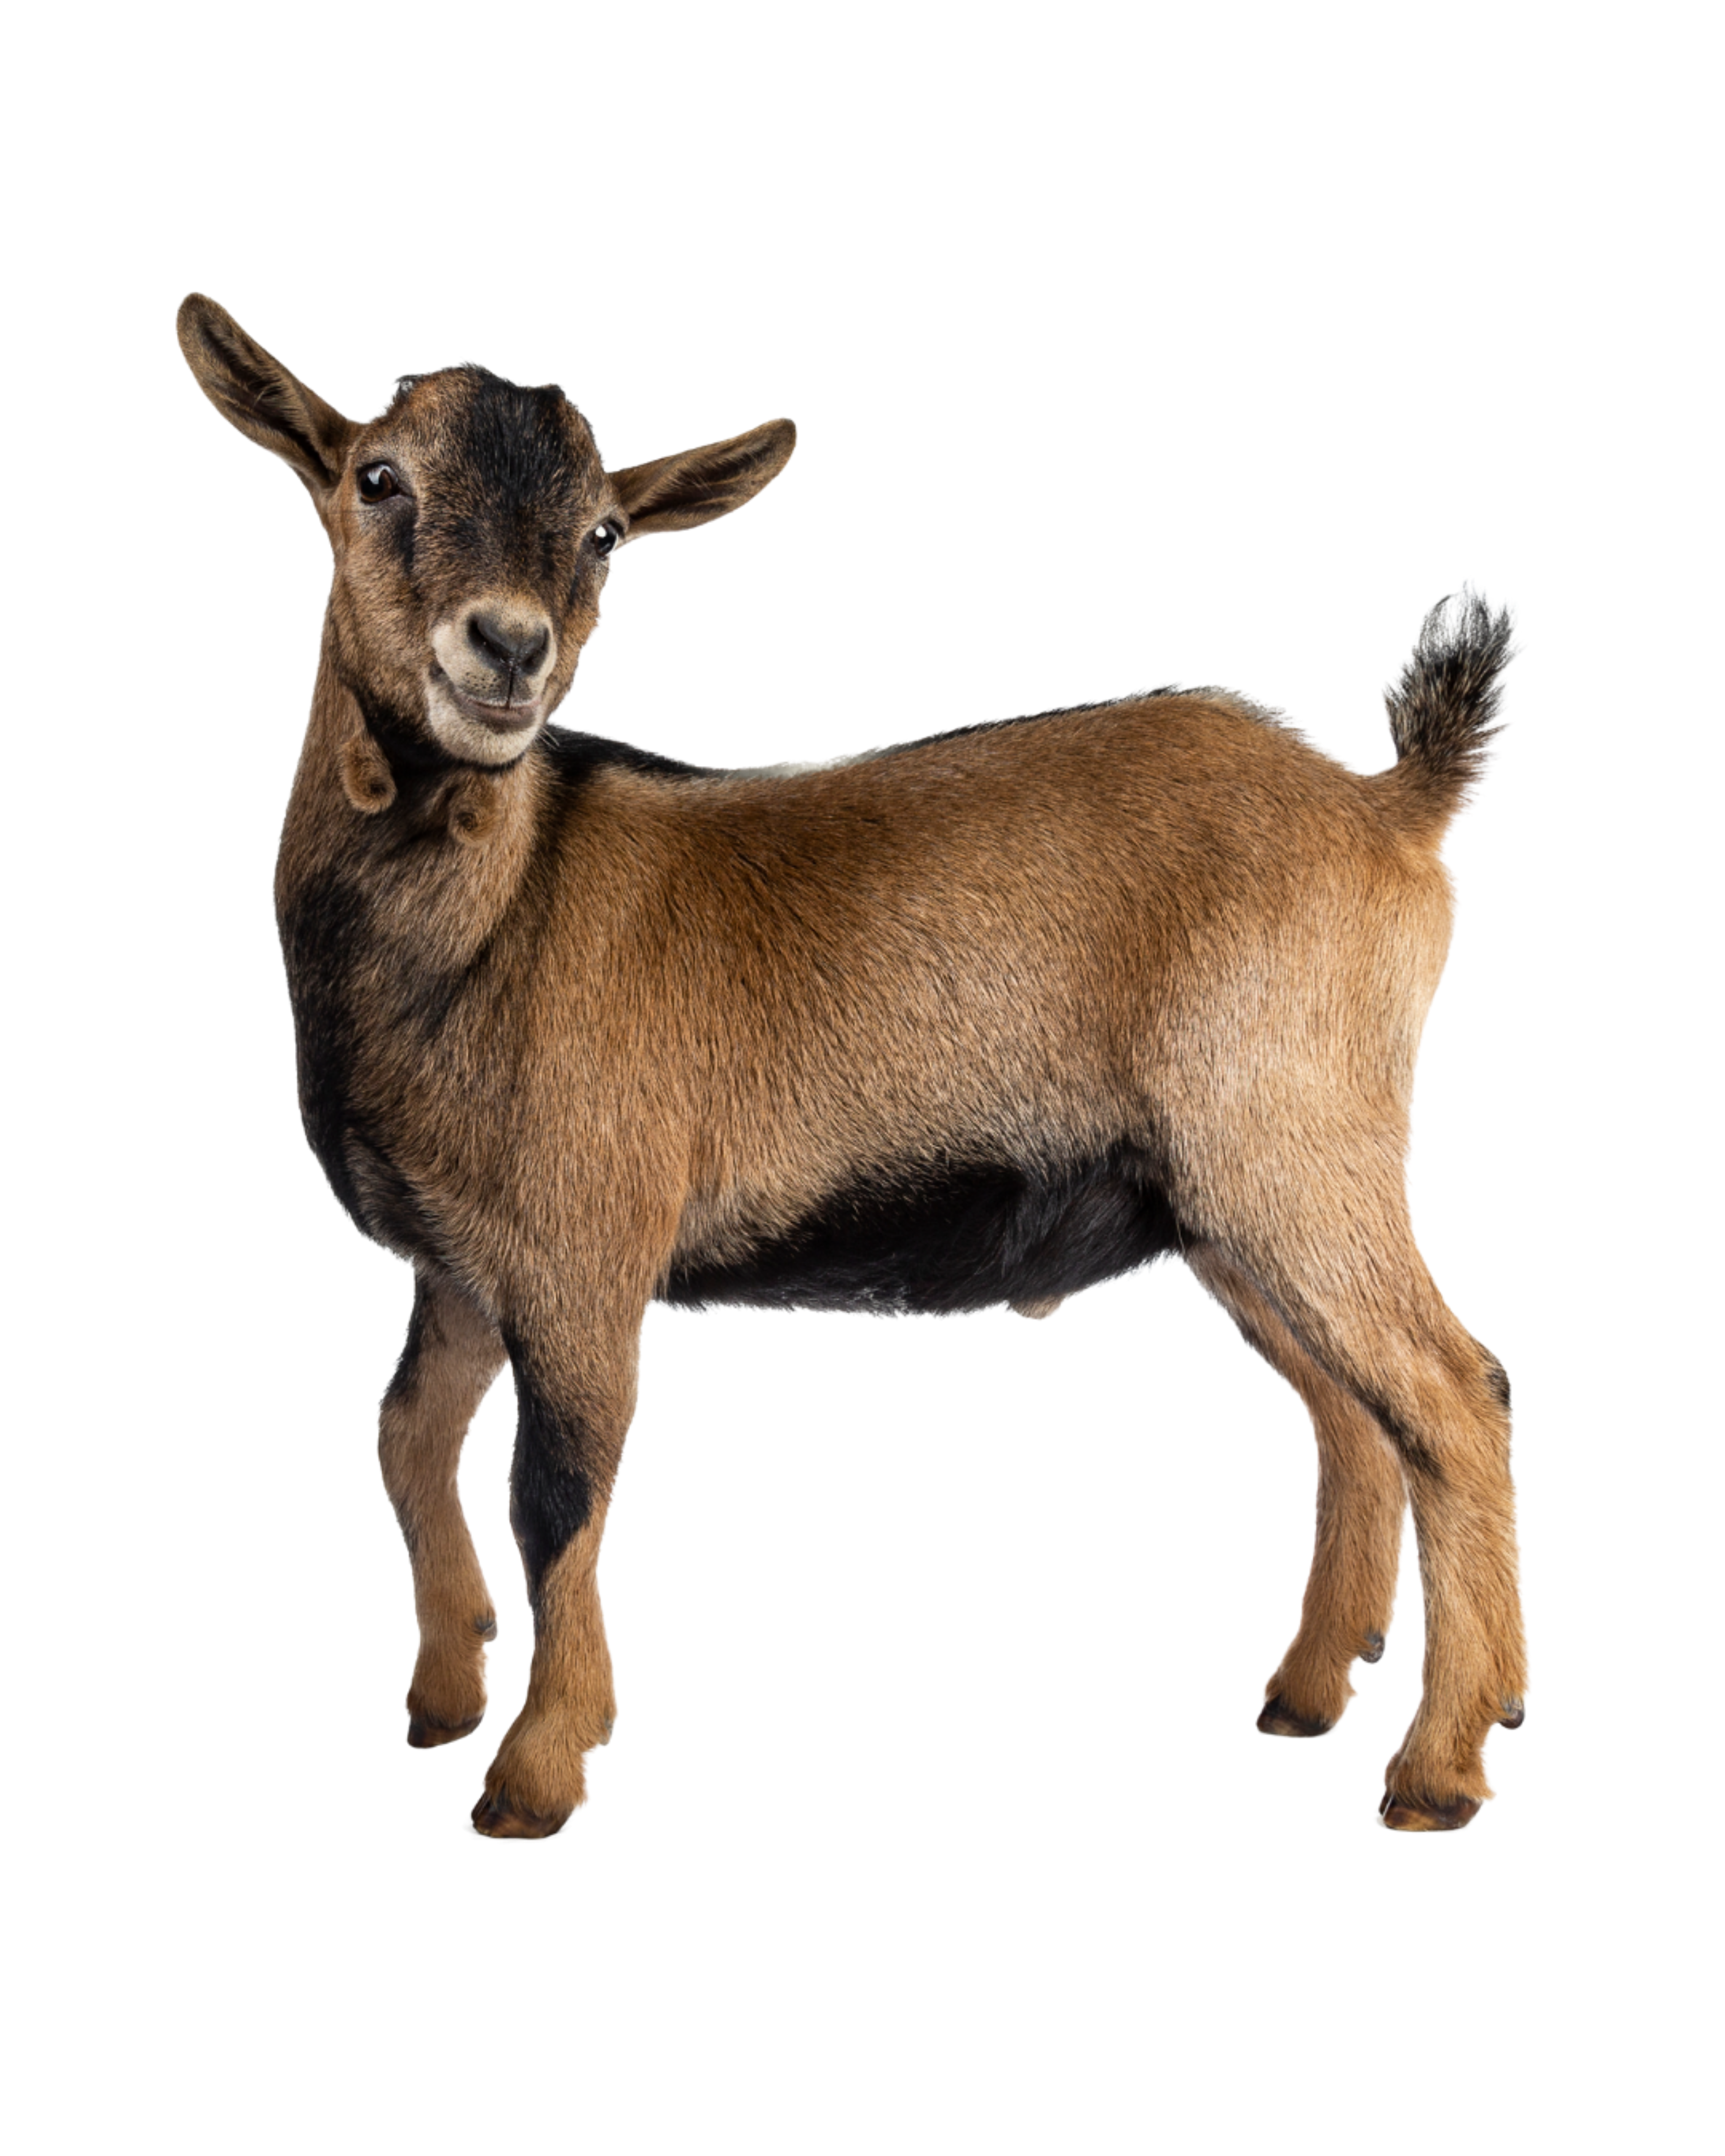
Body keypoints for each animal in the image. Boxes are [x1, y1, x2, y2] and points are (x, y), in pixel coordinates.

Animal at [176, 291, 1531, 1842]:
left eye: (603, 532)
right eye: (377, 477)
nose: (505, 651)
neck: (492, 915)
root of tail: (1389, 805)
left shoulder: (583, 1254)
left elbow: (556, 1490)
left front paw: (534, 1770)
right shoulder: (458, 1262)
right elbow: (406, 1435)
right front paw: (442, 1698)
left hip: (1300, 1153)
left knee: (1451, 1394)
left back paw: (1438, 1767)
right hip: (1225, 1210)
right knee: (1353, 1415)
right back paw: (1311, 1695)